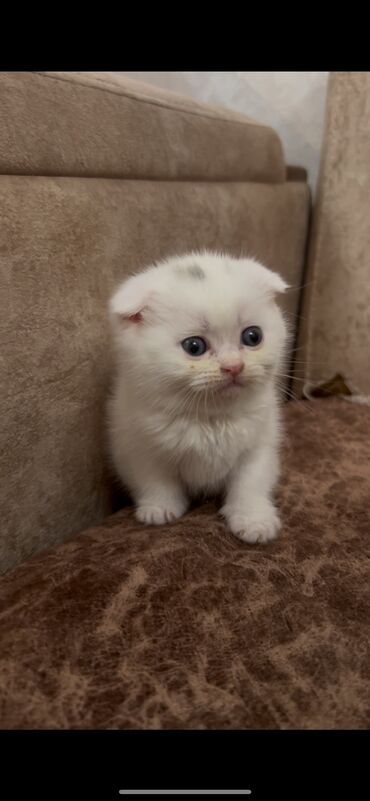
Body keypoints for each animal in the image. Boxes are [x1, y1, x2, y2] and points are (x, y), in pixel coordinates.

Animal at [107, 253, 290, 544]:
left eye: (253, 336)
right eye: (194, 347)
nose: (234, 366)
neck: (210, 418)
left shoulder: (259, 445)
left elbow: (250, 483)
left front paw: (253, 520)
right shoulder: (139, 444)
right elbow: (155, 479)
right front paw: (160, 507)